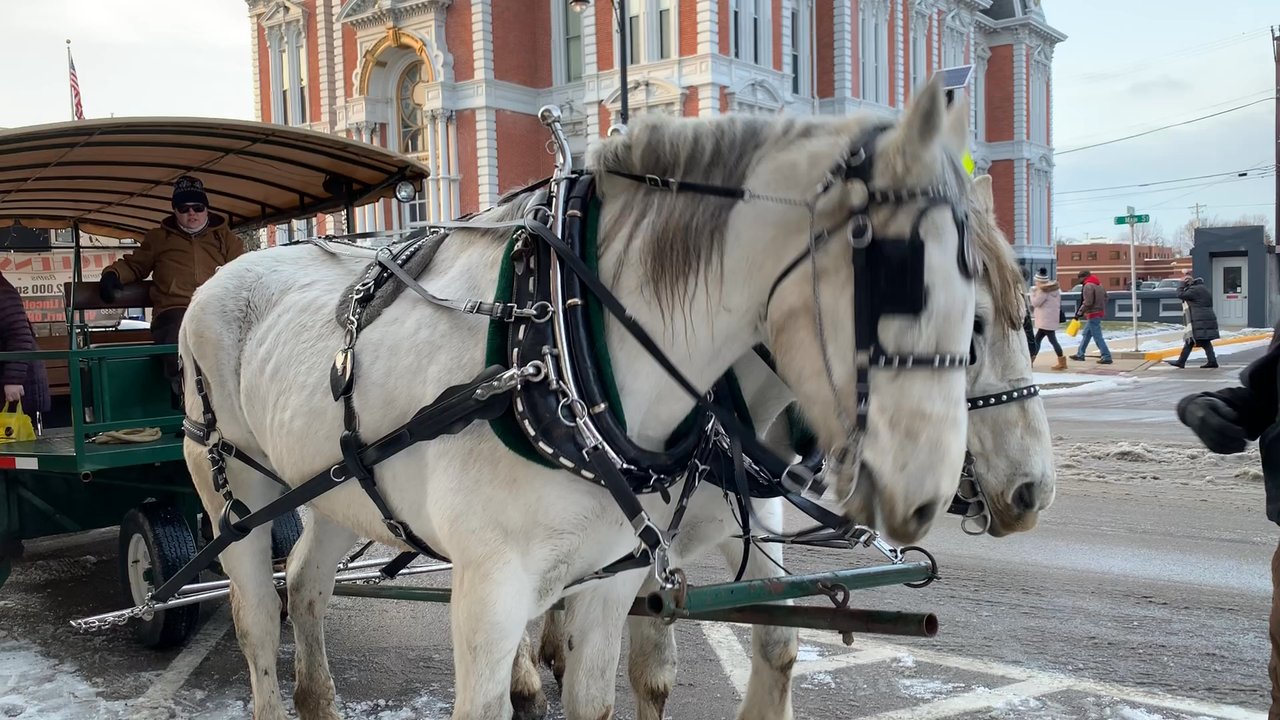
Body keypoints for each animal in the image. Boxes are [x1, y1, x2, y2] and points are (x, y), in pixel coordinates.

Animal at [178, 76, 976, 720]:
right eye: (896, 275)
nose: (929, 499)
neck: (560, 349)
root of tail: (219, 279)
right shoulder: (490, 591)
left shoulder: (609, 580)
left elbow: (602, 694)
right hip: (234, 492)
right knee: (257, 614)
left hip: (338, 488)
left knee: (307, 581)